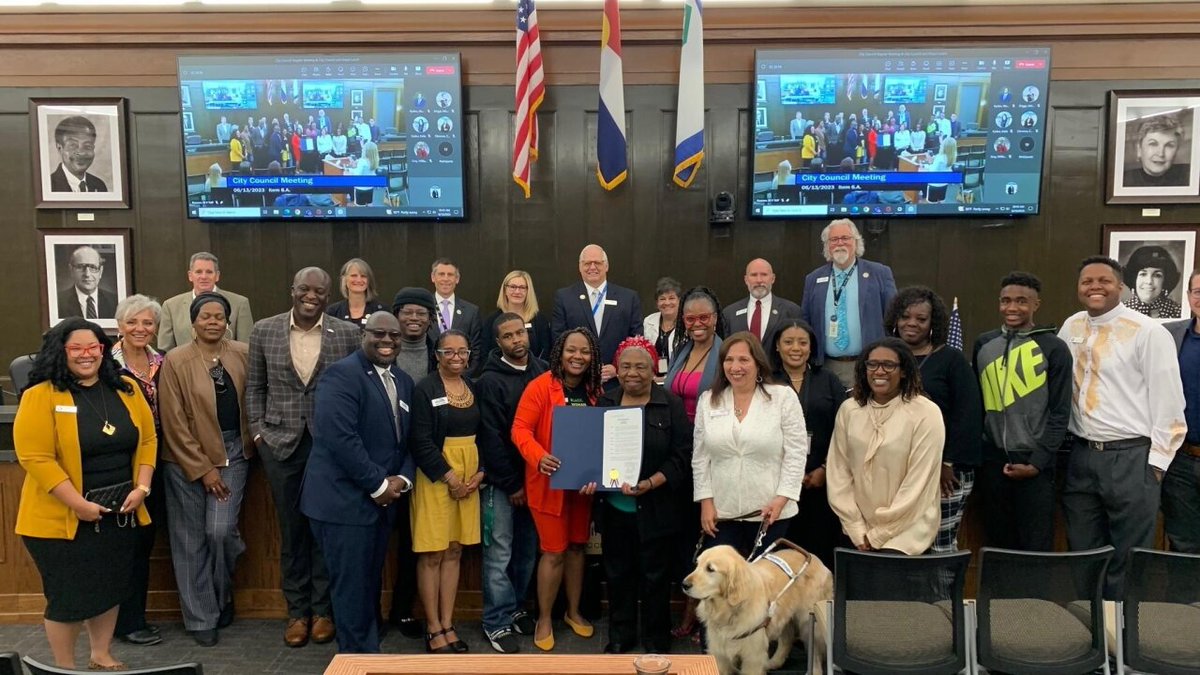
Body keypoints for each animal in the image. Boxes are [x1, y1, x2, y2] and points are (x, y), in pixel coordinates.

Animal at [686, 540, 835, 672]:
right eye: (697, 565)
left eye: (710, 569)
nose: (684, 584)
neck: (730, 610)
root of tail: (816, 559)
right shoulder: (720, 653)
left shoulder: (753, 657)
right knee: (787, 639)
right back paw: (774, 662)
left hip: (810, 620)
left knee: (815, 650)